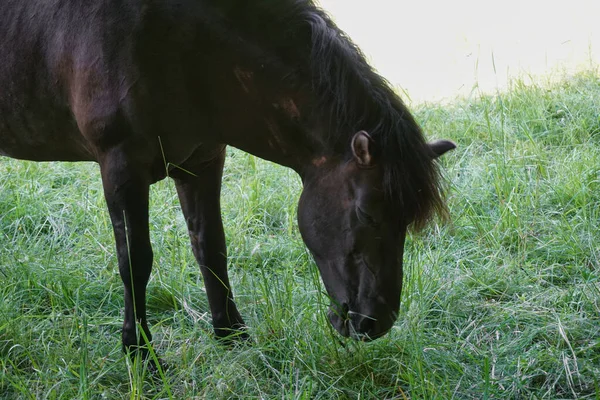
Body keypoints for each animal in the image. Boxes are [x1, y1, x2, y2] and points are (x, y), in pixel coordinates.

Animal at [0, 0, 452, 360]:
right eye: (368, 214)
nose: (375, 322)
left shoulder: (202, 161)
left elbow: (211, 247)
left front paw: (231, 335)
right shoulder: (121, 166)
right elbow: (135, 262)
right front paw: (139, 353)